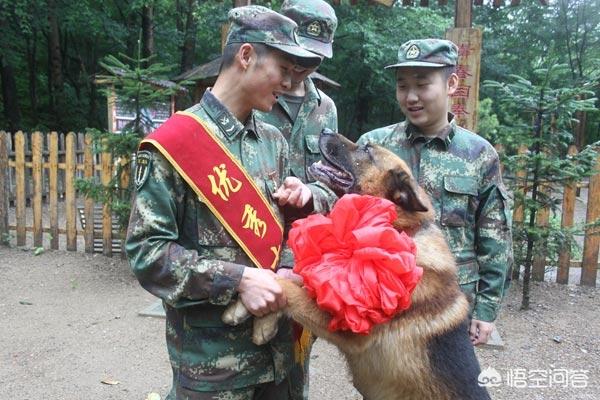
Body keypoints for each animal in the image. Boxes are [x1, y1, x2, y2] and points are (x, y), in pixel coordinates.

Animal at [223, 130, 490, 398]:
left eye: (366, 149)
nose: (325, 131)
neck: (396, 229)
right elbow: (289, 279)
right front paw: (254, 310)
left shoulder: (345, 328)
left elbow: (289, 287)